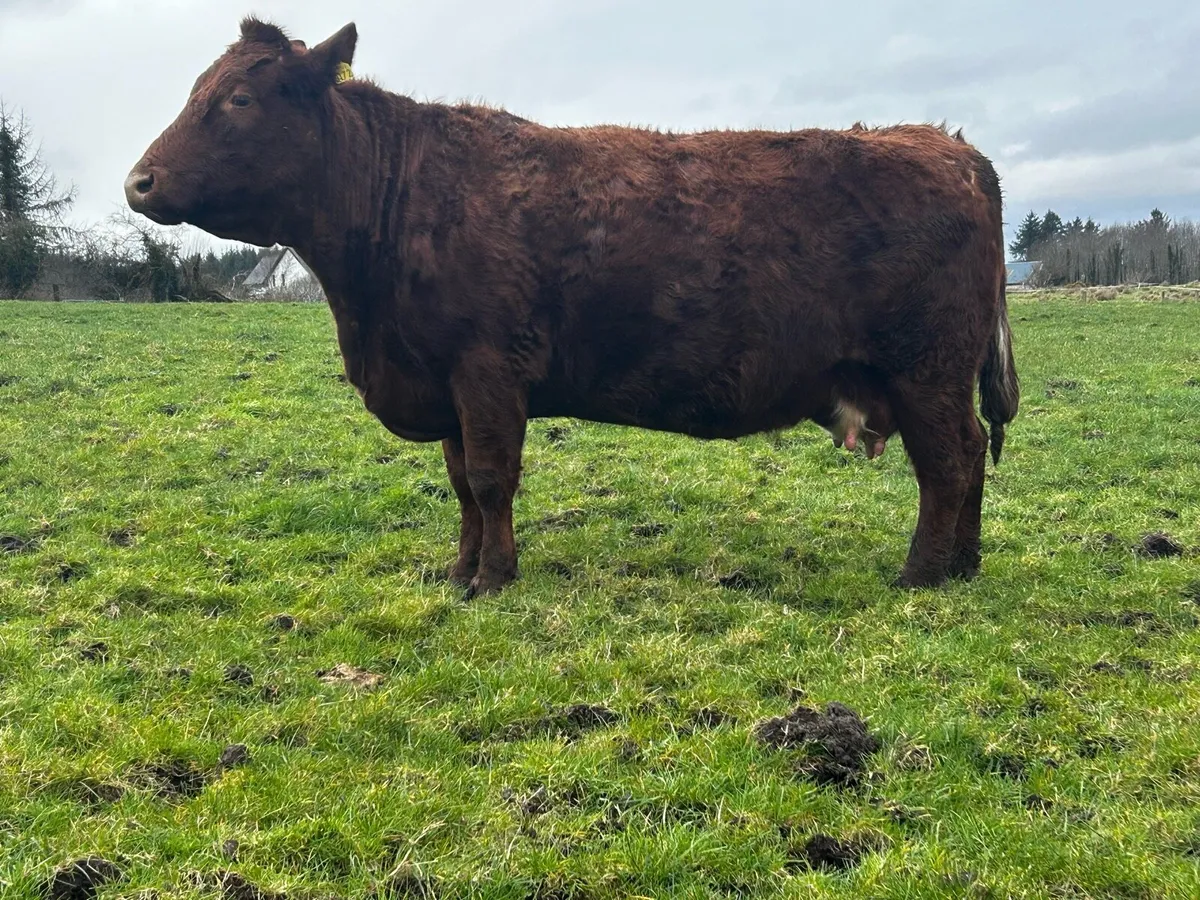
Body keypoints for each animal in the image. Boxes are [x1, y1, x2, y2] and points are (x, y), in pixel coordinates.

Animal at [124, 18, 1019, 597]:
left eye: (240, 101)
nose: (139, 180)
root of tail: (943, 142)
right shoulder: (445, 384)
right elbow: (461, 485)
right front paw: (458, 571)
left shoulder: (487, 372)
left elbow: (492, 480)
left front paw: (494, 578)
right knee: (974, 457)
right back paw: (965, 566)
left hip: (926, 371)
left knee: (948, 464)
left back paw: (919, 576)